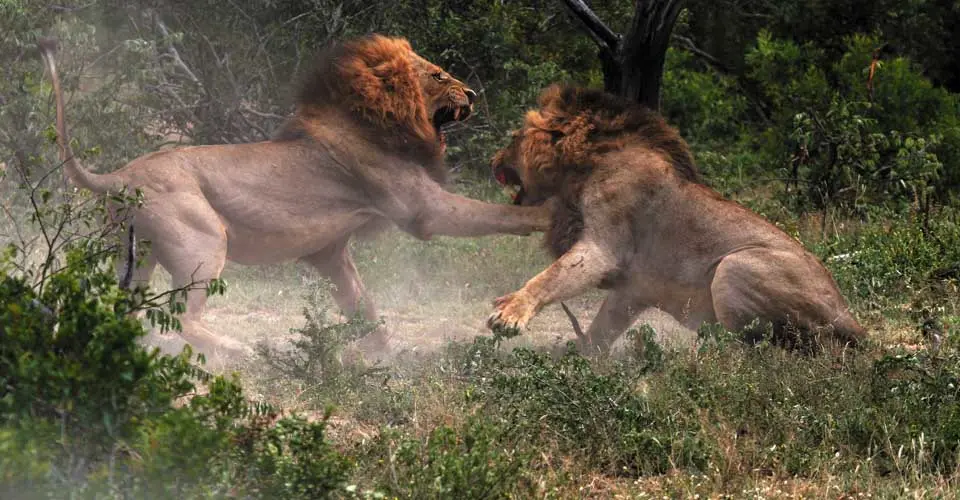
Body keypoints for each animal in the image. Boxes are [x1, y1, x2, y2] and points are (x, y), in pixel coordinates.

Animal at [38, 35, 550, 358]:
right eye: (439, 75)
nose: (472, 93)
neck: (380, 120)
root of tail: (118, 176)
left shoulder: (330, 251)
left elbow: (364, 307)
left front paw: (383, 357)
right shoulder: (422, 208)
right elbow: (492, 214)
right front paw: (550, 214)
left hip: (132, 258)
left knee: (126, 310)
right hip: (203, 243)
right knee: (178, 317)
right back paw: (239, 350)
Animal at [487, 85, 866, 352]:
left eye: (514, 138)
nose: (492, 161)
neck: (580, 167)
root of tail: (852, 319)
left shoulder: (604, 246)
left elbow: (551, 277)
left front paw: (510, 314)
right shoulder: (633, 288)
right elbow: (602, 327)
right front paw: (576, 356)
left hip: (734, 267)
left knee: (758, 351)